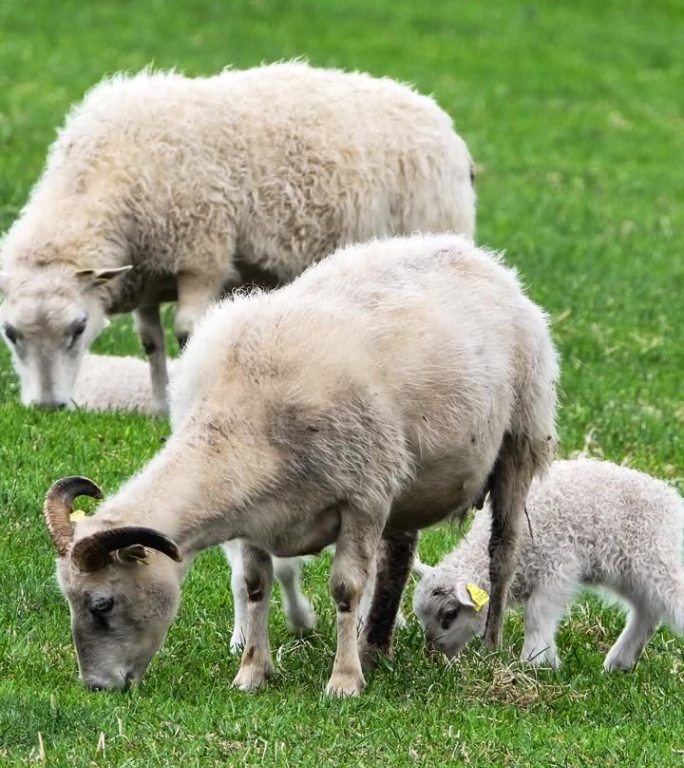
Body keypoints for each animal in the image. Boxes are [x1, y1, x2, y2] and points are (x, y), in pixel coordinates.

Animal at [0, 60, 476, 414]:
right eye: (10, 333)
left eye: (78, 328)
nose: (47, 407)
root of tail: (437, 115)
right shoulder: (148, 274)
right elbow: (151, 342)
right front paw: (159, 404)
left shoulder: (201, 257)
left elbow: (187, 333)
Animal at [42, 234, 560, 696]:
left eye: (102, 603)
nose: (97, 687)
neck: (242, 418)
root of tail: (480, 257)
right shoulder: (255, 516)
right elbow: (255, 586)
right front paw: (252, 674)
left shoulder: (363, 500)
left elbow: (347, 589)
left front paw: (344, 681)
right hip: (409, 481)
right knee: (398, 555)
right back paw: (376, 645)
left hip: (518, 442)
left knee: (502, 552)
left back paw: (489, 644)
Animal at [412, 460, 684, 668]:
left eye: (450, 614)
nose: (435, 655)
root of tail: (671, 499)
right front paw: (547, 660)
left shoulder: (558, 564)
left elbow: (536, 613)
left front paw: (531, 660)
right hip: (628, 569)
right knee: (648, 610)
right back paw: (619, 663)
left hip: (653, 556)